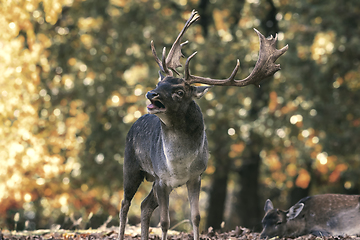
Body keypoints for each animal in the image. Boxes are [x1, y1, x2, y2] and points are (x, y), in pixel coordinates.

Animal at [118, 9, 286, 240]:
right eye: (159, 83)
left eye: (179, 92)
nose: (151, 93)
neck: (179, 165)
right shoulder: (162, 179)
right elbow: (165, 222)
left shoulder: (196, 177)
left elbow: (195, 217)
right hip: (131, 164)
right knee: (125, 204)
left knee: (144, 205)